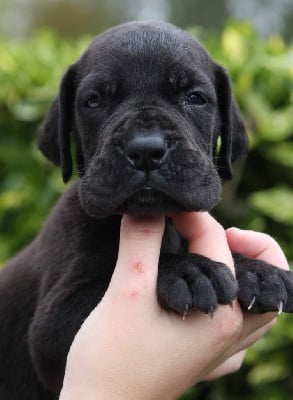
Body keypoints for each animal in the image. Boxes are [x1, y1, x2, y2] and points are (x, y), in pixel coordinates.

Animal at [0, 21, 292, 400]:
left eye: (194, 97)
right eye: (94, 101)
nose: (146, 150)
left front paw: (257, 272)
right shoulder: (52, 325)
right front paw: (189, 271)